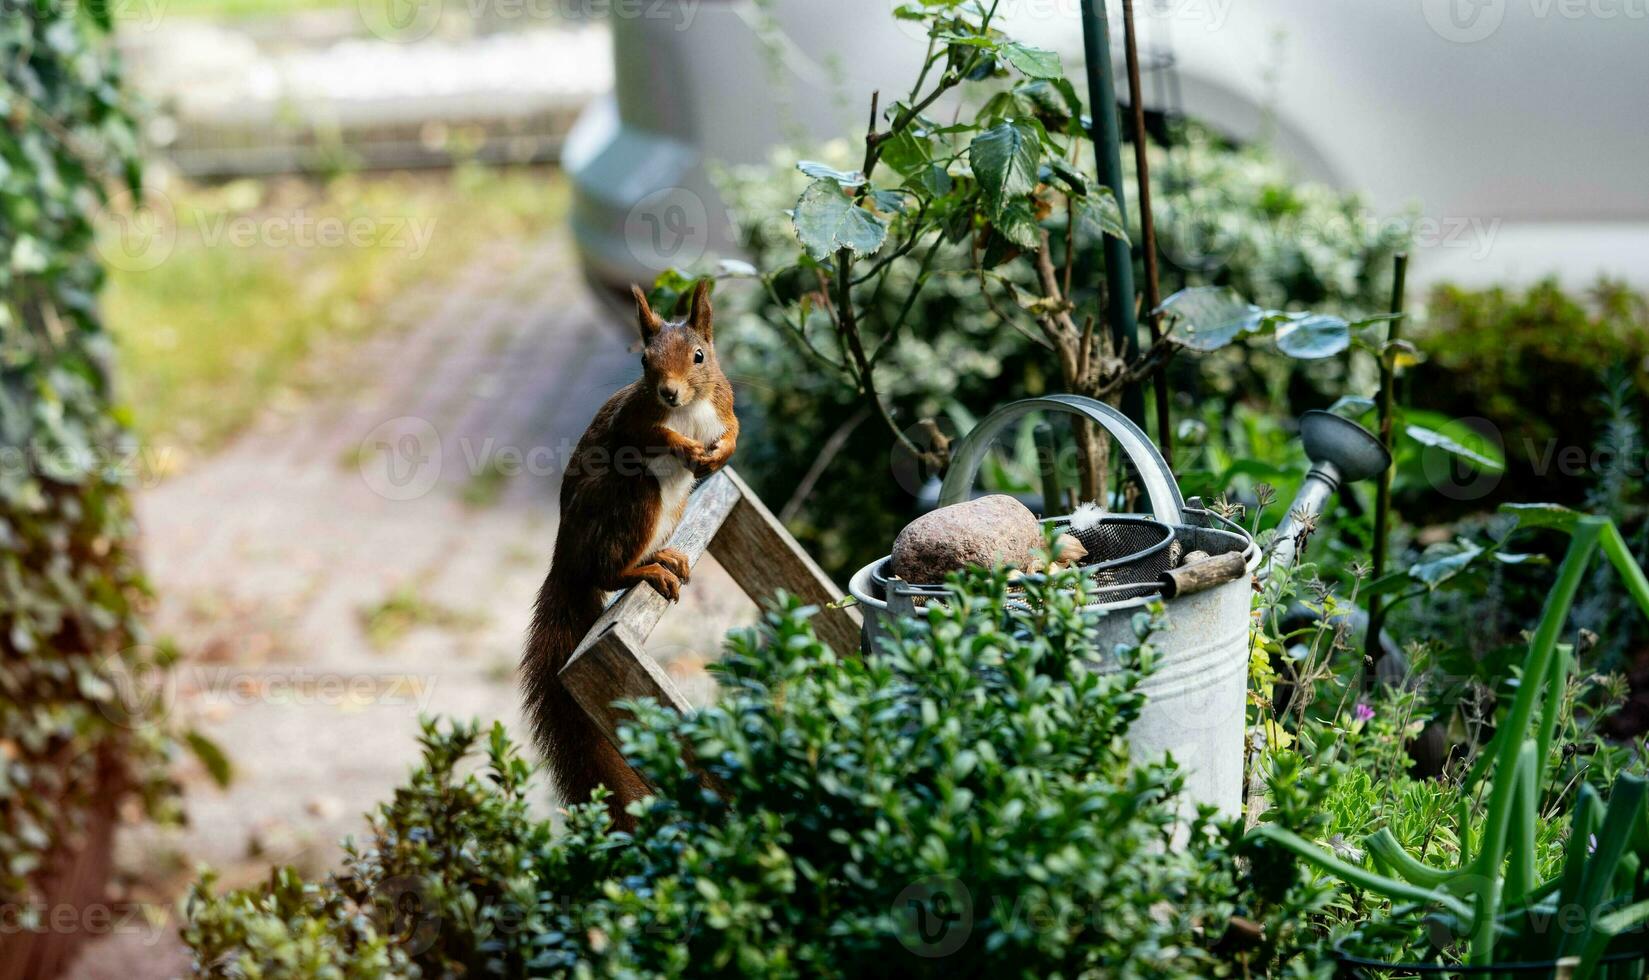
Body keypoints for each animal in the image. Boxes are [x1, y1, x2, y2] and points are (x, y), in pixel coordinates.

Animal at [521, 278, 742, 828]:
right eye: (644, 361)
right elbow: (650, 433)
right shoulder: (632, 421)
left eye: (700, 356)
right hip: (632, 497)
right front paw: (684, 447)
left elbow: (733, 429)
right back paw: (648, 571)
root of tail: (565, 563)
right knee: (609, 572)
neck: (689, 412)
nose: (669, 392)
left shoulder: (723, 401)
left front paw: (720, 451)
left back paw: (668, 560)